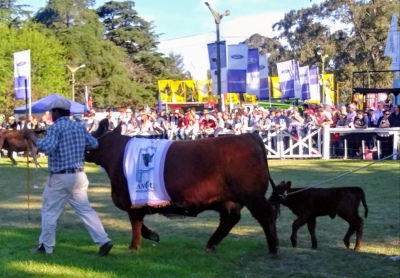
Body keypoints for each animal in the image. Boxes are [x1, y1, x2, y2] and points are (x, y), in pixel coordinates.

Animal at [85, 120, 278, 258]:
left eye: (91, 133)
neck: (116, 157)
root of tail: (251, 137)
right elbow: (141, 225)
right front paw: (153, 236)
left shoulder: (131, 201)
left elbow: (136, 224)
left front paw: (133, 246)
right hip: (230, 200)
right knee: (230, 219)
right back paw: (210, 245)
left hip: (253, 196)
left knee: (267, 215)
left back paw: (273, 248)